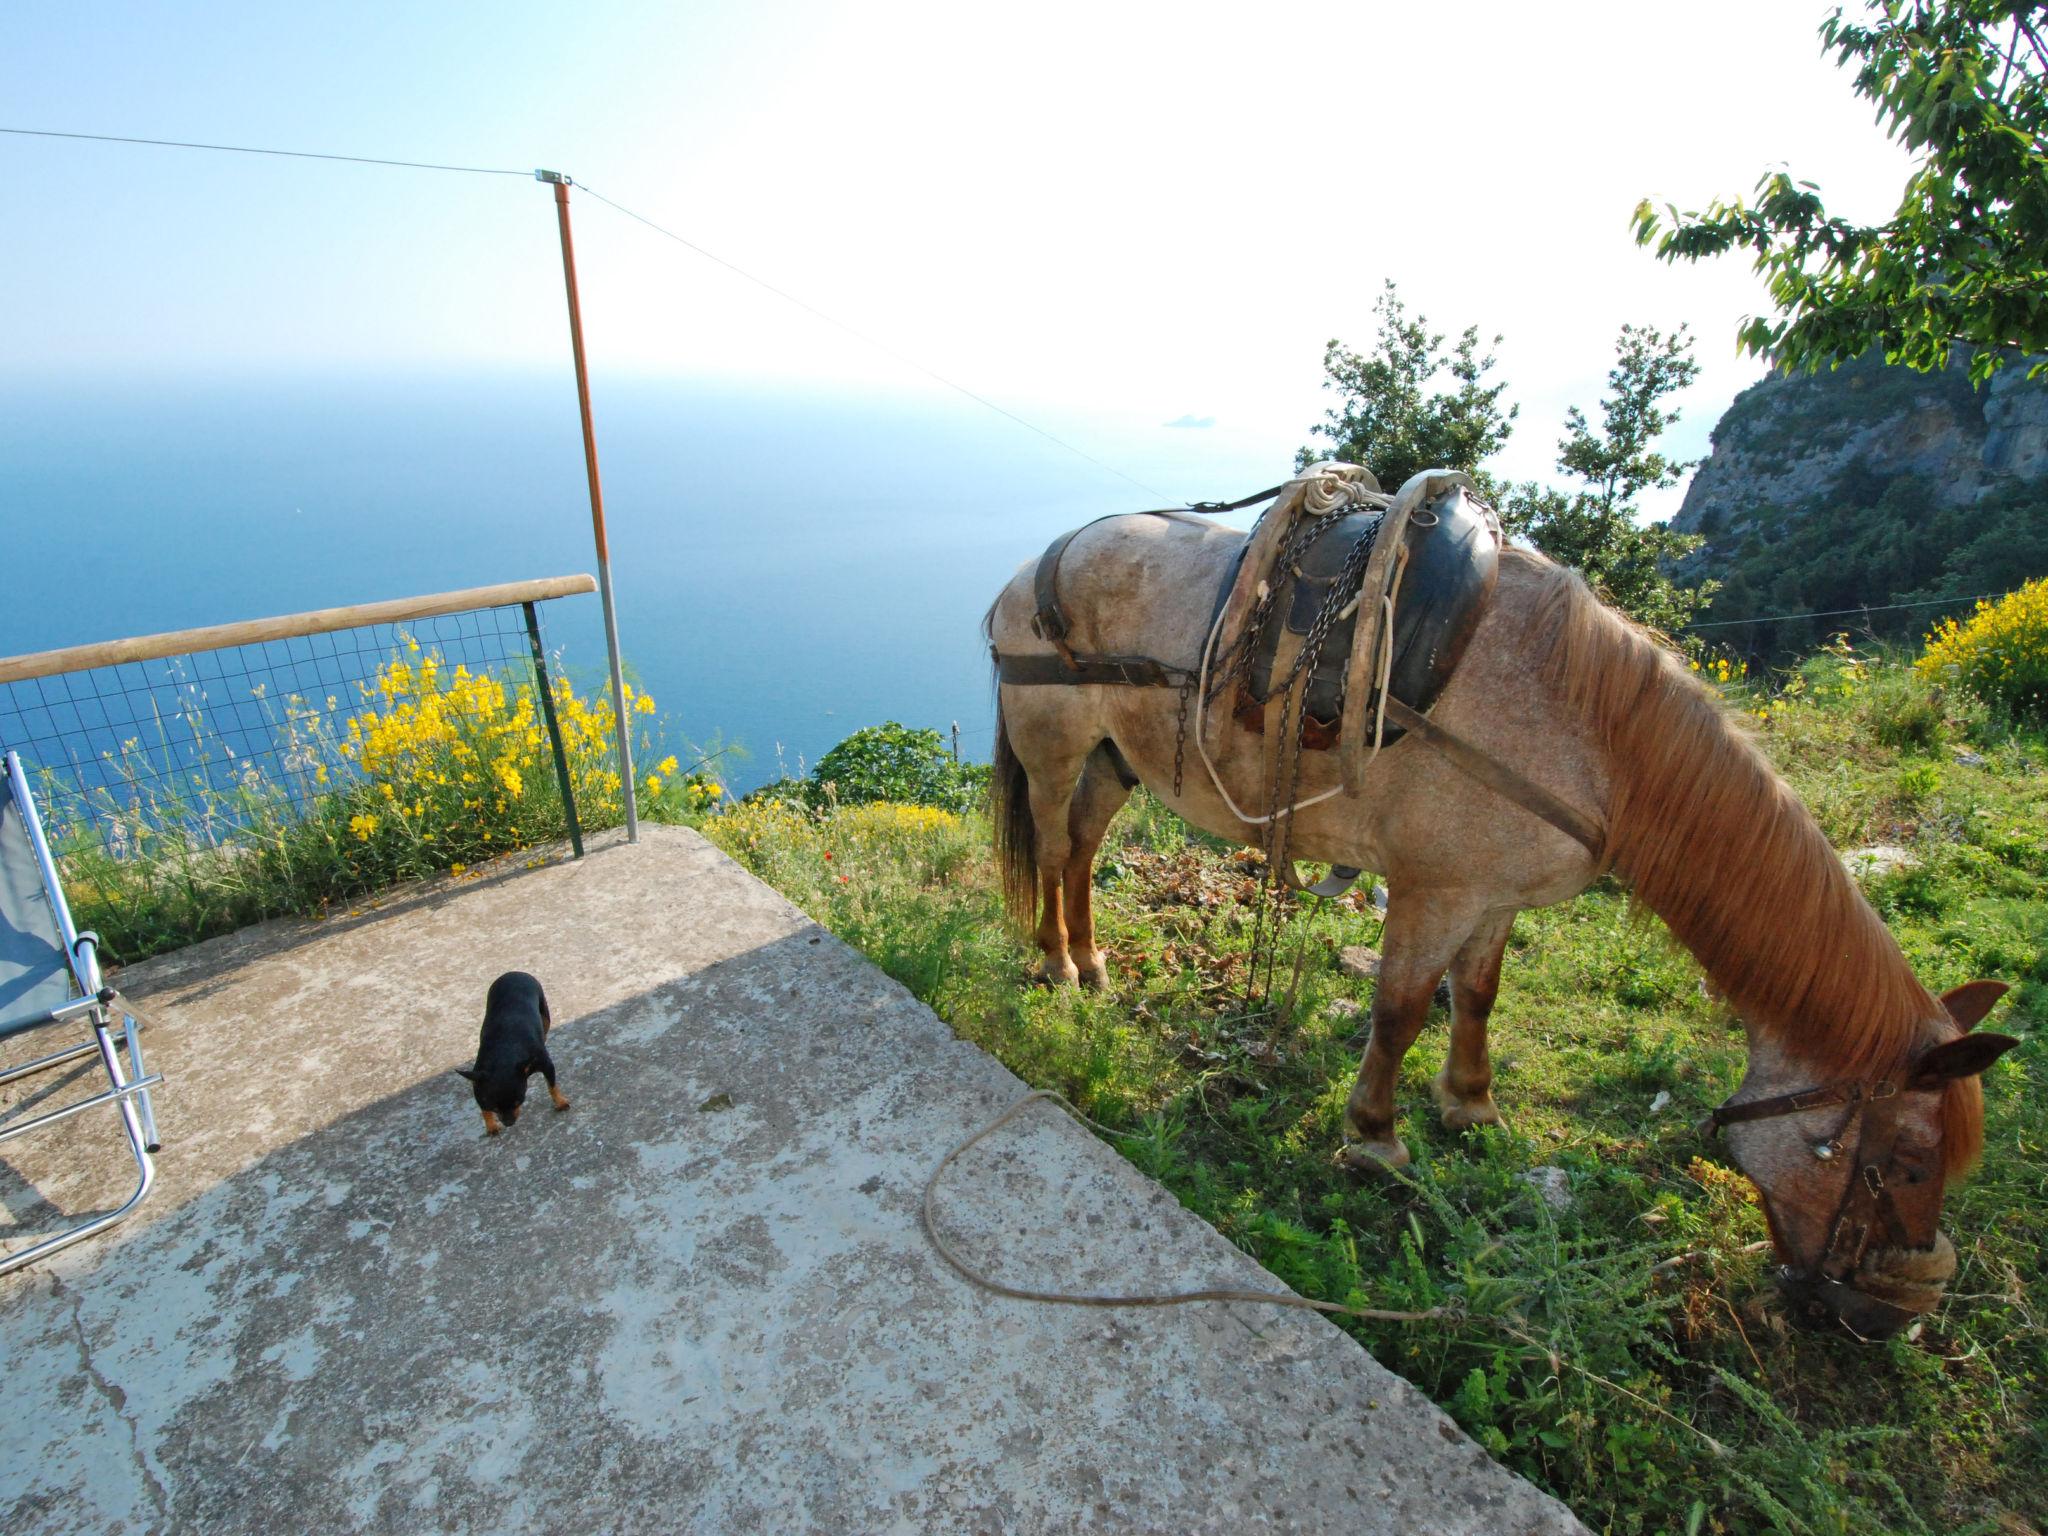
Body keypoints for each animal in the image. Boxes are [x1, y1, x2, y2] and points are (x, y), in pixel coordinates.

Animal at [456, 978, 569, 1138]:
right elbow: (484, 1109)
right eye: (495, 1108)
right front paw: (491, 1125)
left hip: (545, 1014)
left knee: (545, 1027)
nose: (509, 1123)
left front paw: (560, 1102)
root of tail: (514, 974)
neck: (504, 1055)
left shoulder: (546, 1064)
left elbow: (552, 1086)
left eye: (519, 1101)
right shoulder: (478, 1085)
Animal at [987, 499, 2015, 1343]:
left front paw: (1470, 1105)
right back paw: (1055, 964)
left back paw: (1094, 959)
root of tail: (1038, 561)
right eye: (1909, 1161)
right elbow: (1401, 1011)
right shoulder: (1435, 890)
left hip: (1118, 756)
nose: (1890, 1316)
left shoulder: (1493, 897)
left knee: (1081, 850)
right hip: (1056, 747)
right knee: (1053, 841)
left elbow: (1477, 995)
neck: (1588, 737)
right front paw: (1375, 1138)